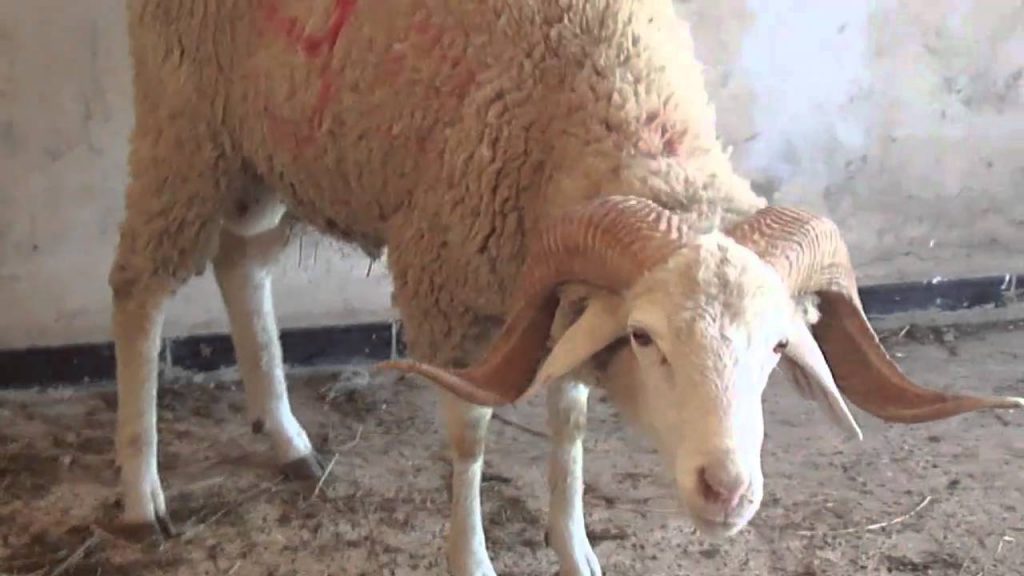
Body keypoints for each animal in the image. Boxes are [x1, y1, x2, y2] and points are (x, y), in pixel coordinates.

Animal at [109, 0, 1023, 573]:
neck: (604, 90)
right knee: (137, 290)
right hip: (183, 126)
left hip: (265, 148)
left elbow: (572, 421)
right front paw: (471, 559)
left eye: (776, 348)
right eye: (648, 338)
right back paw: (141, 490)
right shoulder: (445, 284)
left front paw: (575, 546)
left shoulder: (552, 288)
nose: (728, 491)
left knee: (240, 264)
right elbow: (471, 436)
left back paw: (285, 436)